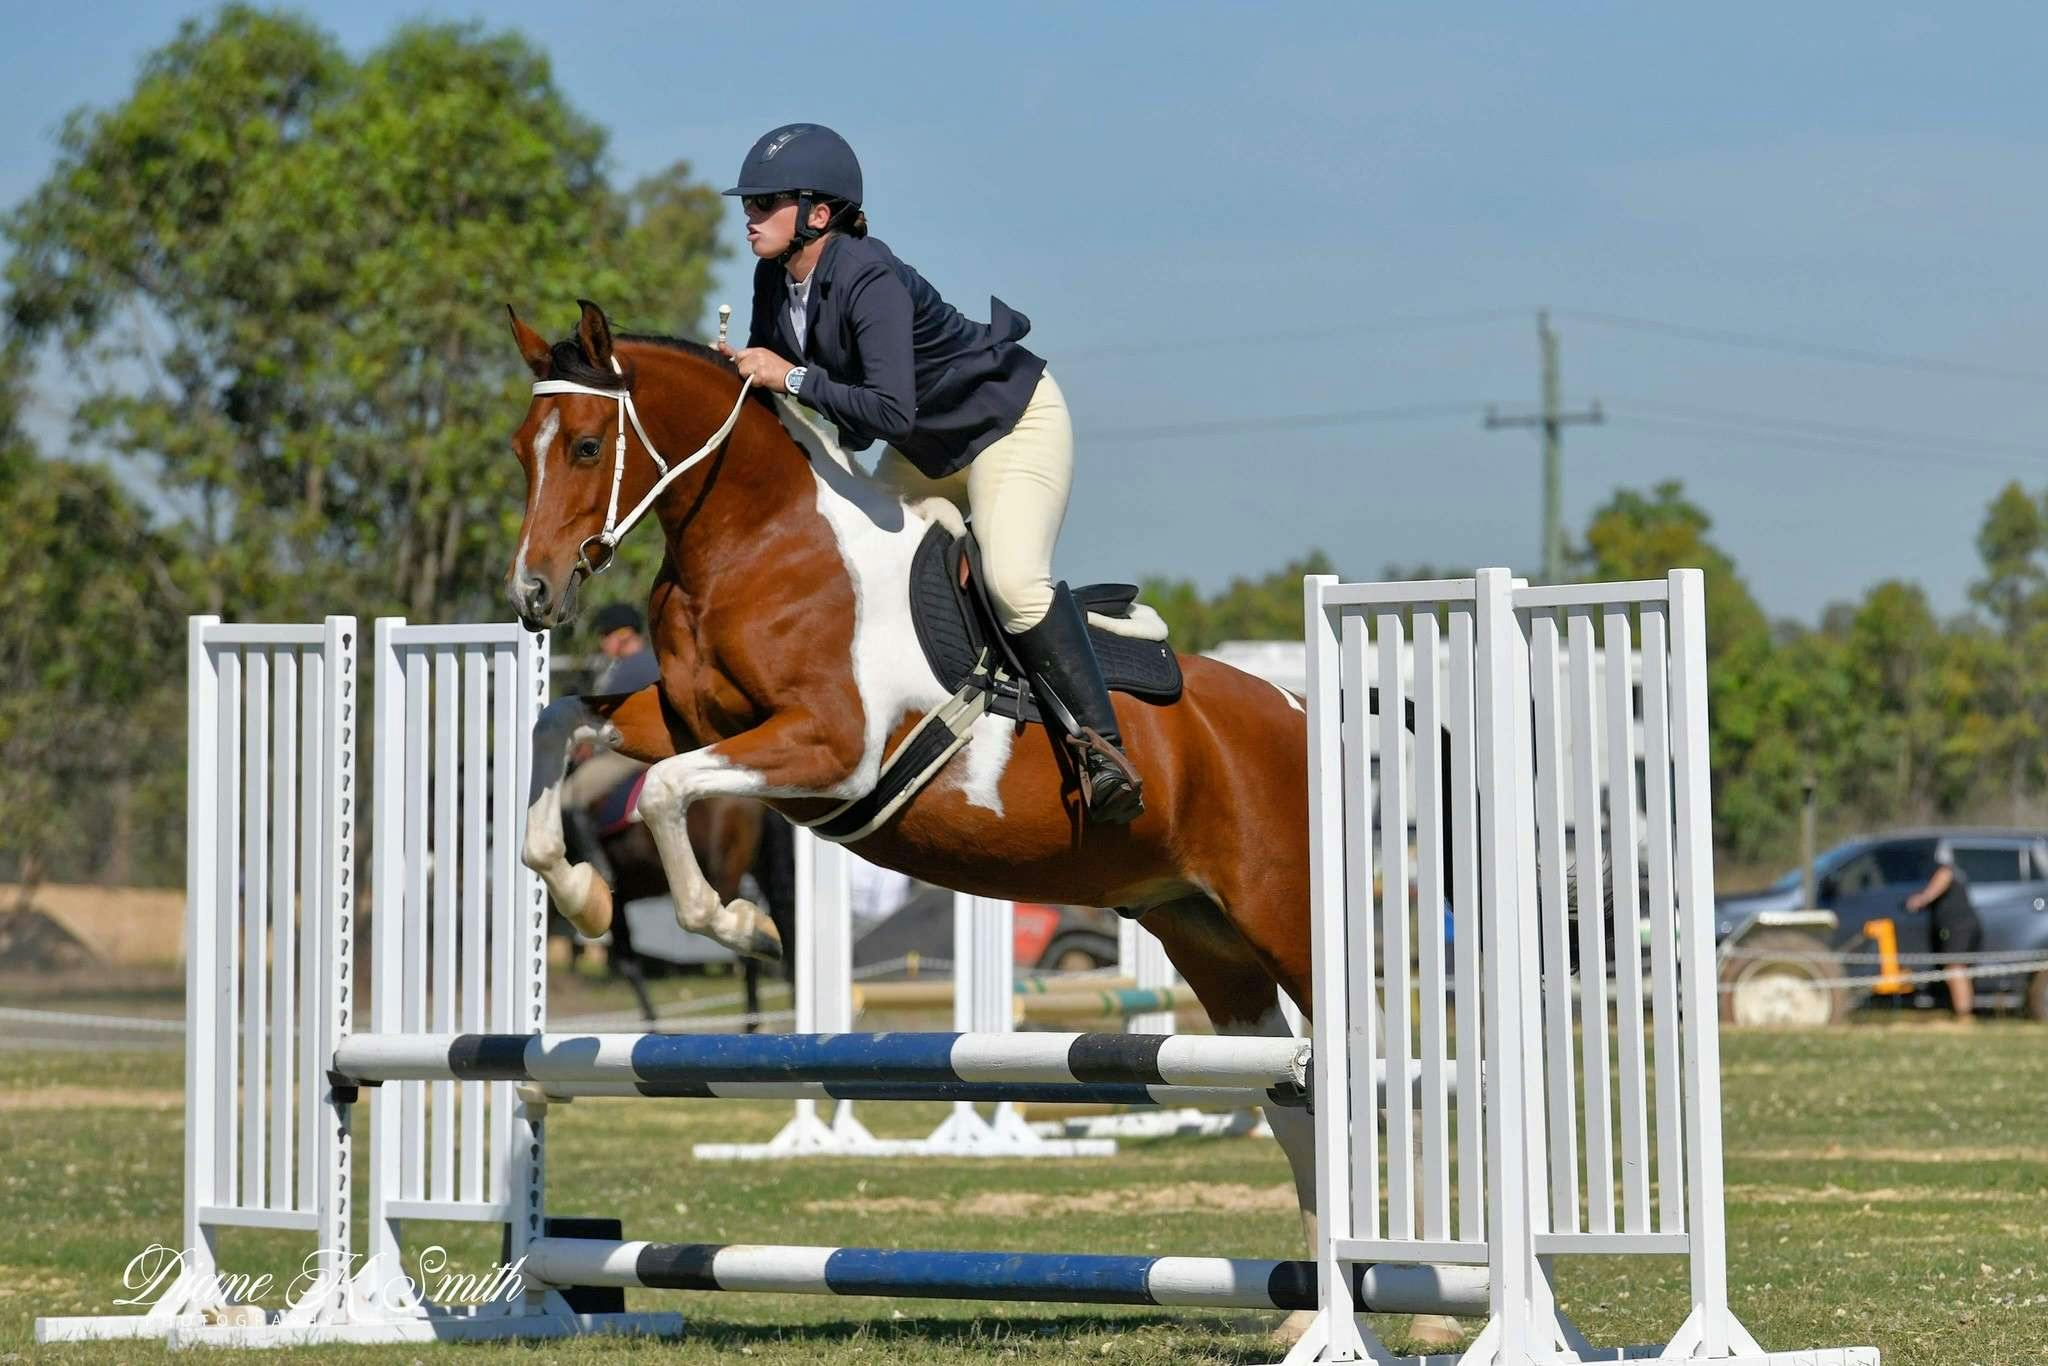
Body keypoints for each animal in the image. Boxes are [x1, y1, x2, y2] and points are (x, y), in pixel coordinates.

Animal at [501, 301, 1409, 1343]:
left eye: (585, 444)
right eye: (521, 448)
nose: (531, 595)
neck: (759, 544)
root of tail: (1302, 713)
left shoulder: (826, 749)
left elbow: (660, 793)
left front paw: (741, 924)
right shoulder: (691, 721)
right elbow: (562, 725)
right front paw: (582, 895)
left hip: (1286, 914)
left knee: (1351, 1068)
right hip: (1205, 935)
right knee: (1289, 1090)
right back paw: (1306, 1316)